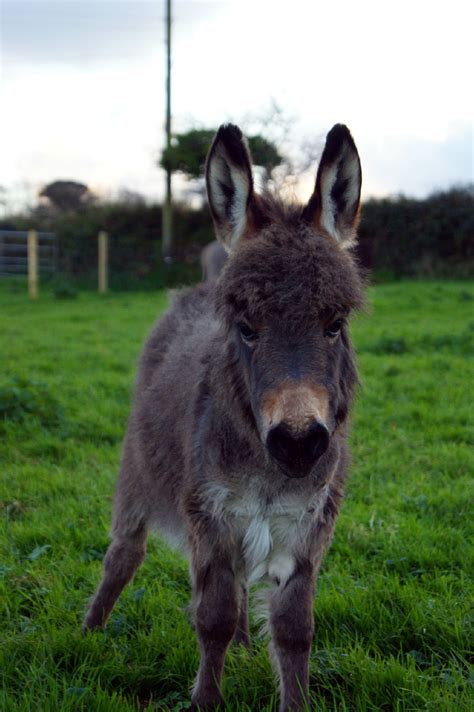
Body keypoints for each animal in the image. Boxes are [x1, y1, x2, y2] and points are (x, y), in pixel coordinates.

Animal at [83, 124, 364, 712]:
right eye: (246, 327)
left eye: (335, 323)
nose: (299, 443)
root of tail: (196, 288)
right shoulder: (210, 516)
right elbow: (210, 619)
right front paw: (206, 701)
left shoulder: (304, 529)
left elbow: (294, 631)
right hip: (137, 475)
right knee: (123, 555)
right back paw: (88, 634)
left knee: (235, 588)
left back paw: (243, 647)